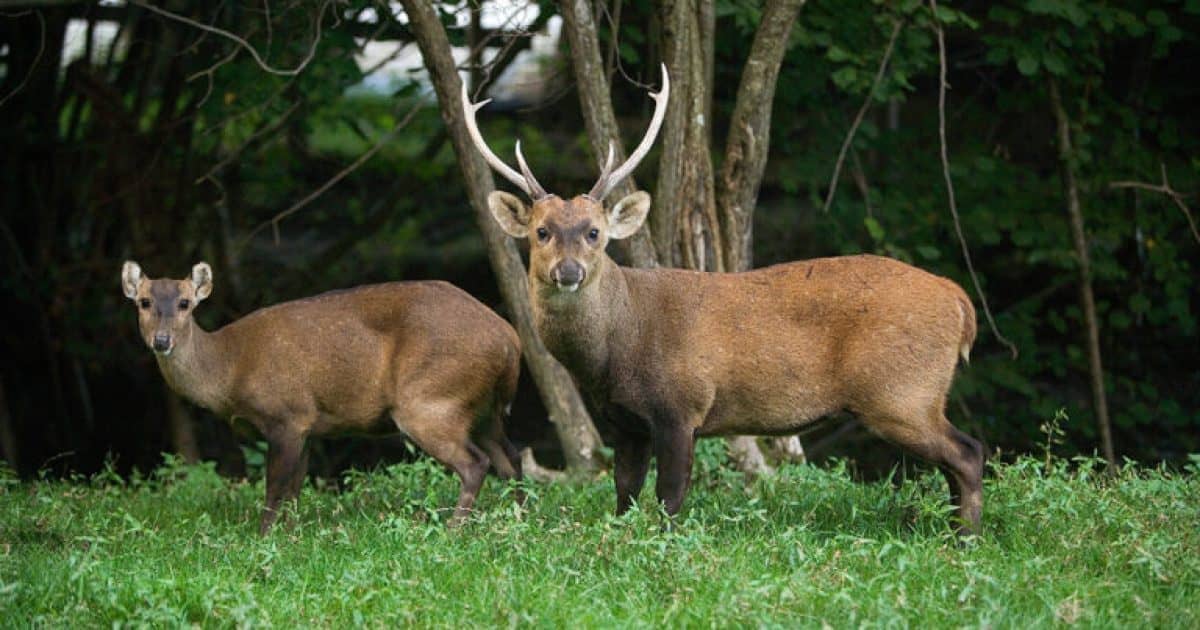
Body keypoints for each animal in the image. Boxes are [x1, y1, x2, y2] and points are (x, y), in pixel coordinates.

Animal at [121, 261, 523, 534]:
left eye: (185, 303)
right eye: (143, 302)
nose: (162, 340)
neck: (230, 371)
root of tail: (509, 338)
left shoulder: (287, 415)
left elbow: (275, 489)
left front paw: (261, 538)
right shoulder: (310, 426)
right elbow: (294, 490)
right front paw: (290, 535)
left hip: (429, 399)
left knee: (476, 463)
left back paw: (453, 530)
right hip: (481, 409)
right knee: (511, 457)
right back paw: (520, 519)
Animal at [463, 65, 985, 534]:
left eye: (594, 232)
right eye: (542, 231)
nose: (569, 272)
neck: (616, 351)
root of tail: (959, 301)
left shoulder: (682, 404)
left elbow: (670, 497)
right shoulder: (626, 423)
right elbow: (623, 495)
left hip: (901, 390)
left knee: (969, 452)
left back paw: (967, 539)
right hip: (913, 393)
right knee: (958, 460)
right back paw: (954, 533)